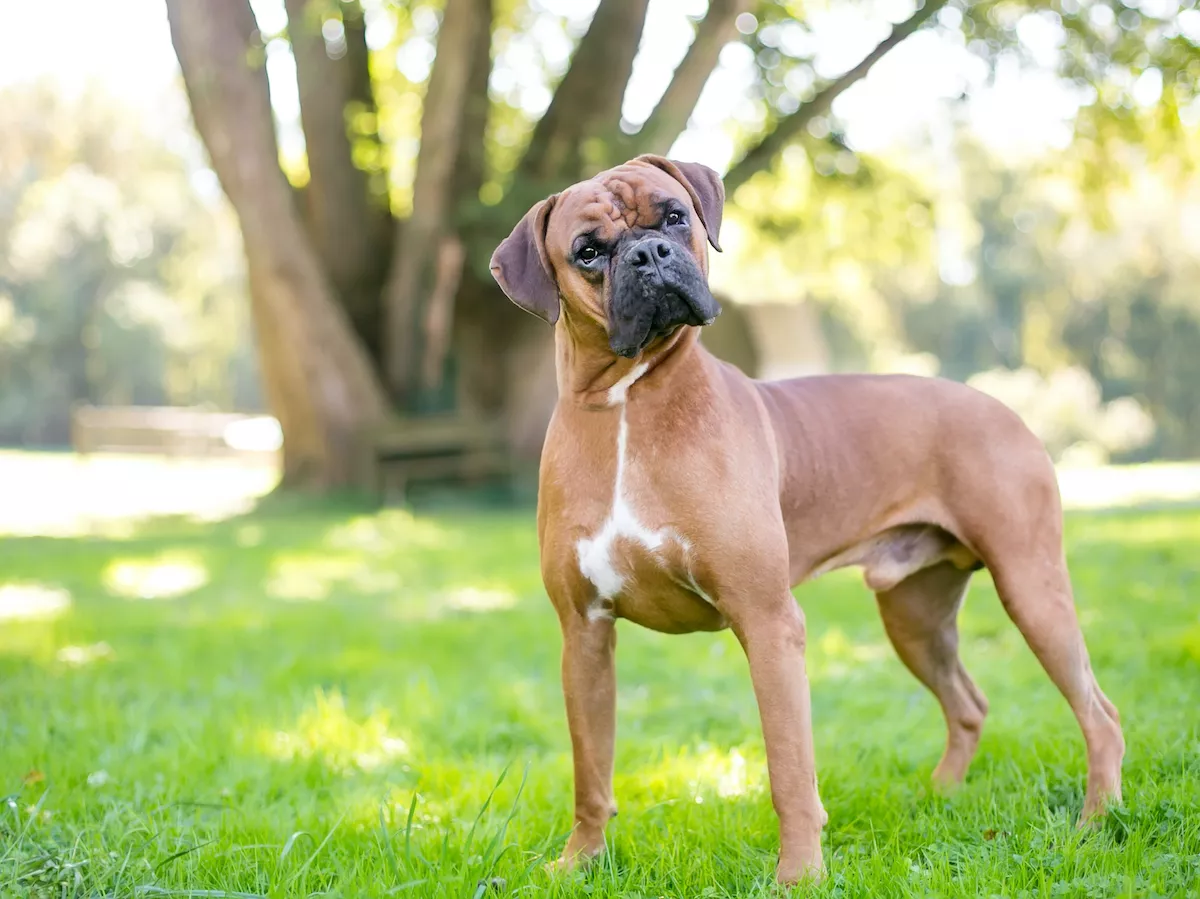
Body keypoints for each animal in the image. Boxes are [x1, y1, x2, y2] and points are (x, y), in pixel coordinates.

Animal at [487, 154, 1123, 883]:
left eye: (674, 216)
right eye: (588, 251)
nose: (649, 253)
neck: (628, 402)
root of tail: (1001, 406)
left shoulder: (767, 623)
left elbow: (790, 769)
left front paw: (799, 875)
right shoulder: (585, 635)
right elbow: (591, 770)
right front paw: (579, 863)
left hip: (1031, 589)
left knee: (1100, 714)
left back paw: (1096, 822)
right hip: (915, 618)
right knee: (969, 704)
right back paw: (940, 798)